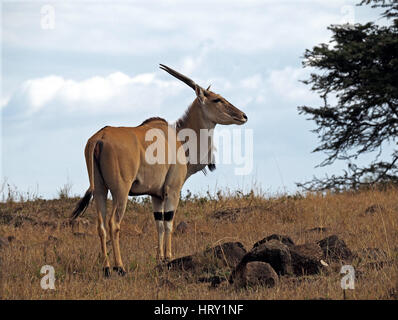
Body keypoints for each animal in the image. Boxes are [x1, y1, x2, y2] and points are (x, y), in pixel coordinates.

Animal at [70, 63, 247, 276]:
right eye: (217, 99)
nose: (243, 115)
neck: (180, 139)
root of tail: (99, 138)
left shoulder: (156, 195)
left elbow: (159, 224)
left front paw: (159, 259)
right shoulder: (172, 190)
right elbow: (169, 223)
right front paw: (168, 257)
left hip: (100, 190)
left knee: (101, 225)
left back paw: (106, 268)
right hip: (120, 191)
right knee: (113, 223)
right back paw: (119, 267)